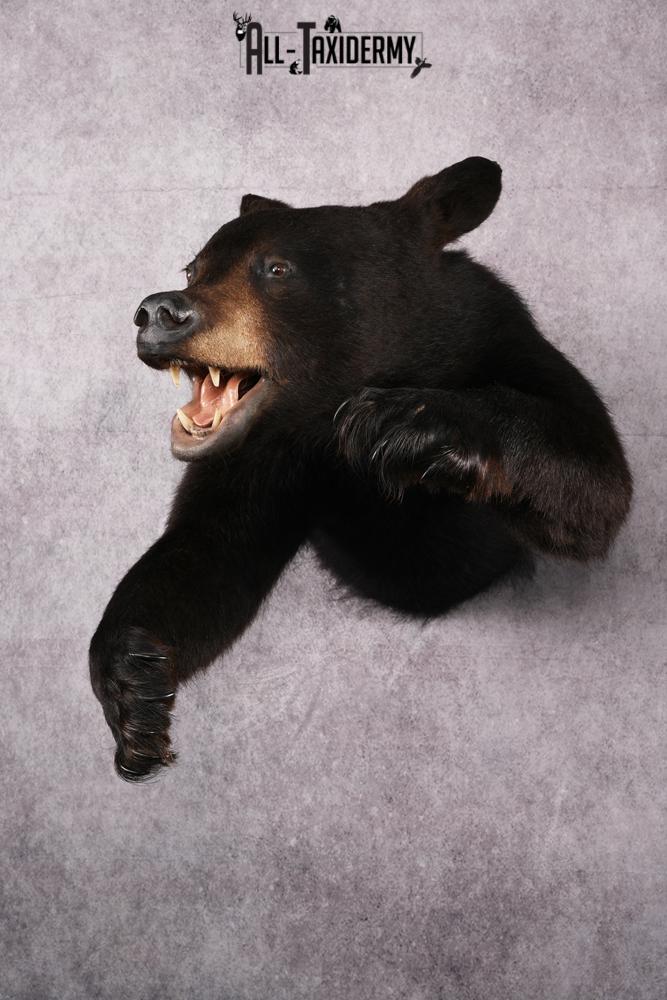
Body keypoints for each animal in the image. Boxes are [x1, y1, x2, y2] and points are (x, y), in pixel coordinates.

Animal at [89, 157, 632, 781]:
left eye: (276, 268)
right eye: (194, 267)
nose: (159, 313)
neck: (324, 417)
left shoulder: (498, 339)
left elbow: (595, 473)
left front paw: (407, 422)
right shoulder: (262, 458)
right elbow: (208, 552)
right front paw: (132, 685)